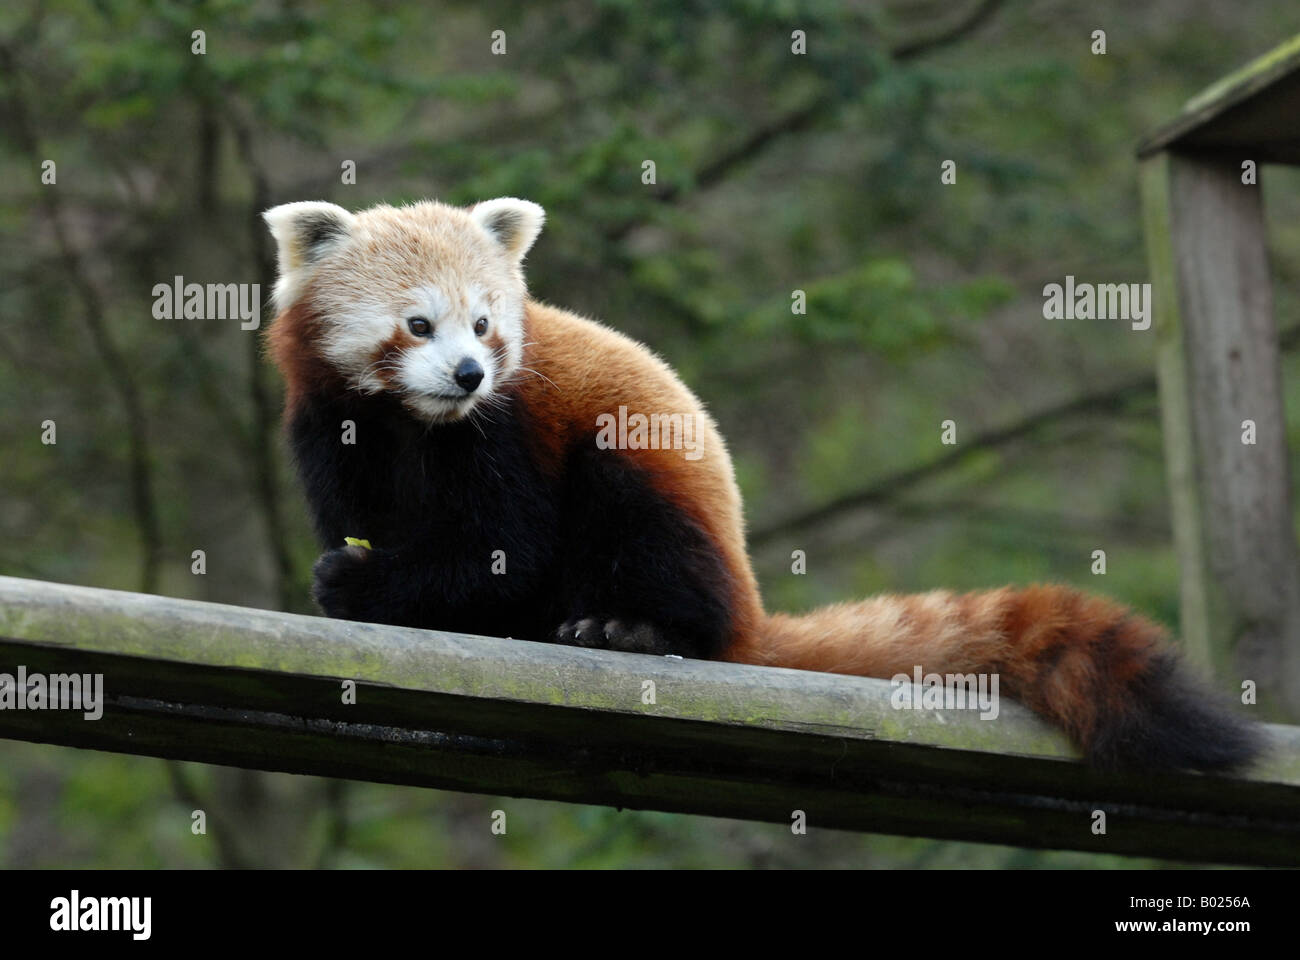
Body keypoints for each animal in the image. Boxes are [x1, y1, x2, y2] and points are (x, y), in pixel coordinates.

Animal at [261, 195, 1258, 770]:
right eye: (418, 325)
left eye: (485, 324)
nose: (469, 373)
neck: (418, 423)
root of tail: (749, 607)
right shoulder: (331, 424)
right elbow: (365, 513)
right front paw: (361, 576)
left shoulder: (513, 429)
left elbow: (500, 550)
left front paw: (360, 583)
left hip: (648, 487)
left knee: (649, 544)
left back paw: (630, 628)